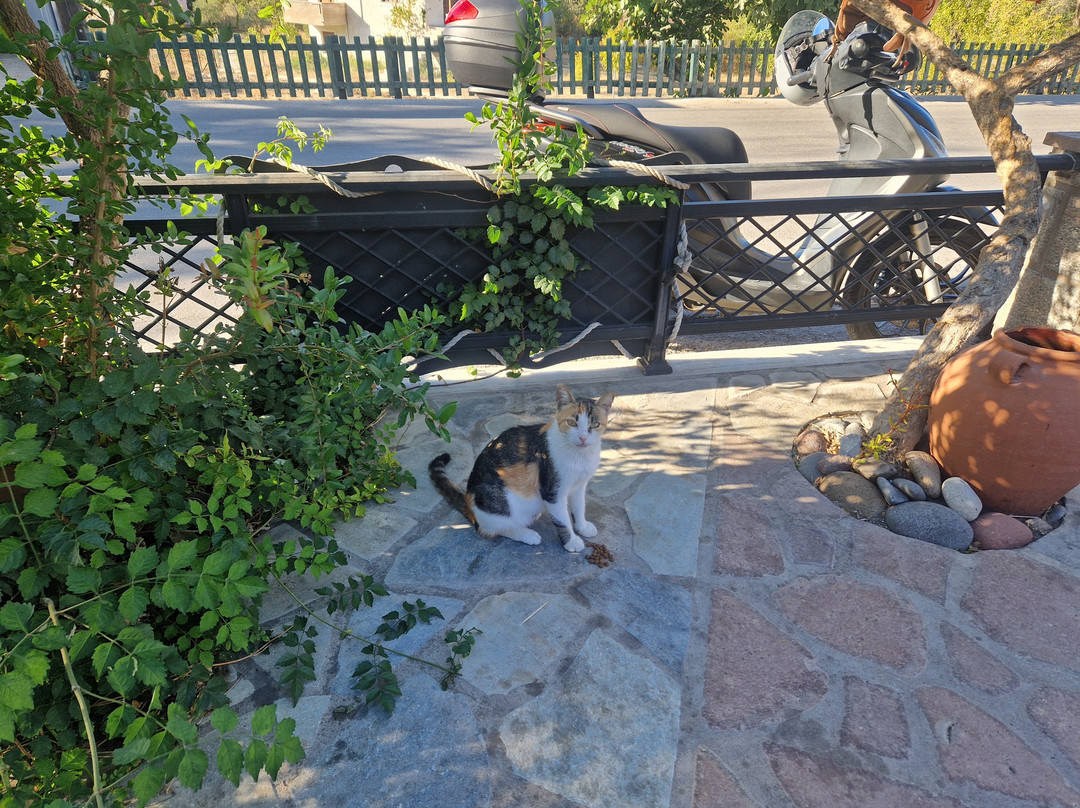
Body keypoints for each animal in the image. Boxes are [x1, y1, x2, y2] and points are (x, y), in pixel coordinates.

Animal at [429, 384, 615, 553]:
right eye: (571, 422)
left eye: (595, 424)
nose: (583, 438)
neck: (579, 455)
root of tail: (469, 505)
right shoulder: (552, 492)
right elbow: (562, 520)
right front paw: (571, 541)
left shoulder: (579, 485)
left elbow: (579, 506)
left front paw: (582, 526)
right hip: (495, 501)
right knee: (491, 529)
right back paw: (526, 534)